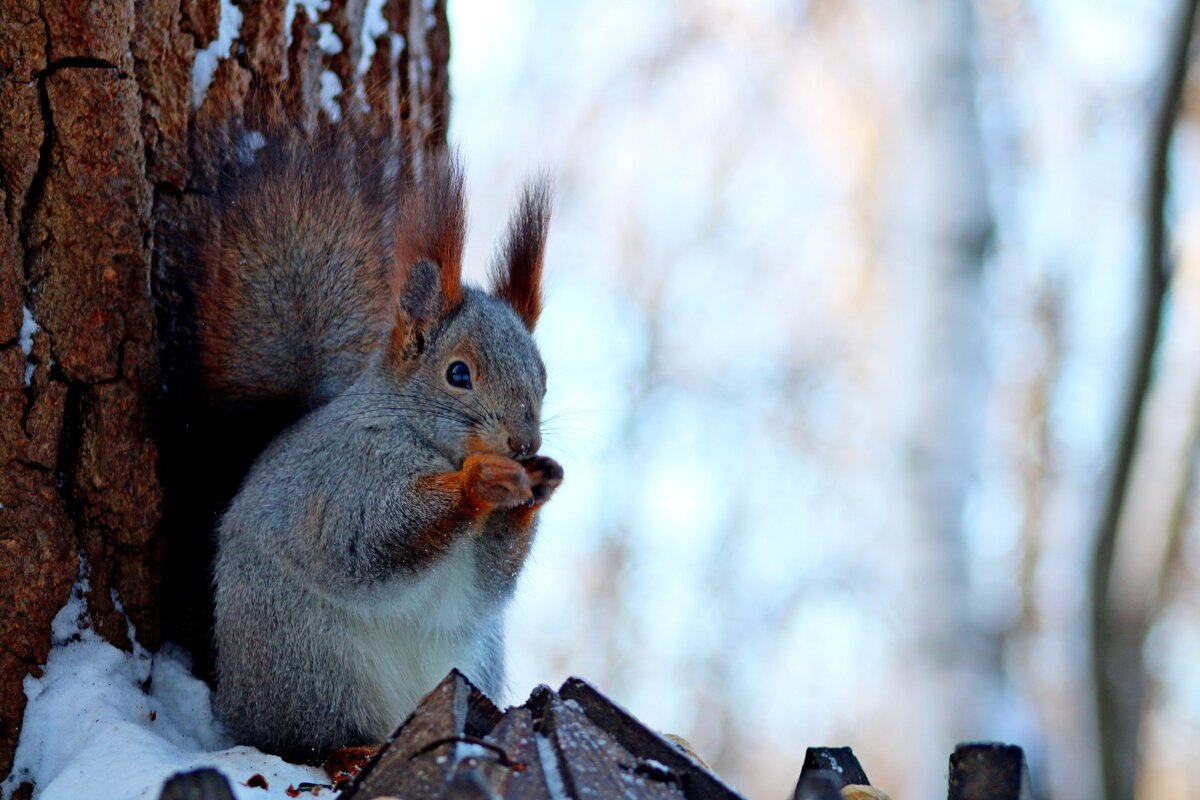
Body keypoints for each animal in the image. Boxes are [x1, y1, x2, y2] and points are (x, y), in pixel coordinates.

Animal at [199, 131, 564, 762]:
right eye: (458, 374)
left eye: (543, 377)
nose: (523, 443)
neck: (430, 443)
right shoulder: (346, 476)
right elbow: (369, 540)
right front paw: (480, 482)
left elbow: (488, 583)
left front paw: (539, 484)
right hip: (310, 664)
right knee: (307, 739)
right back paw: (350, 753)